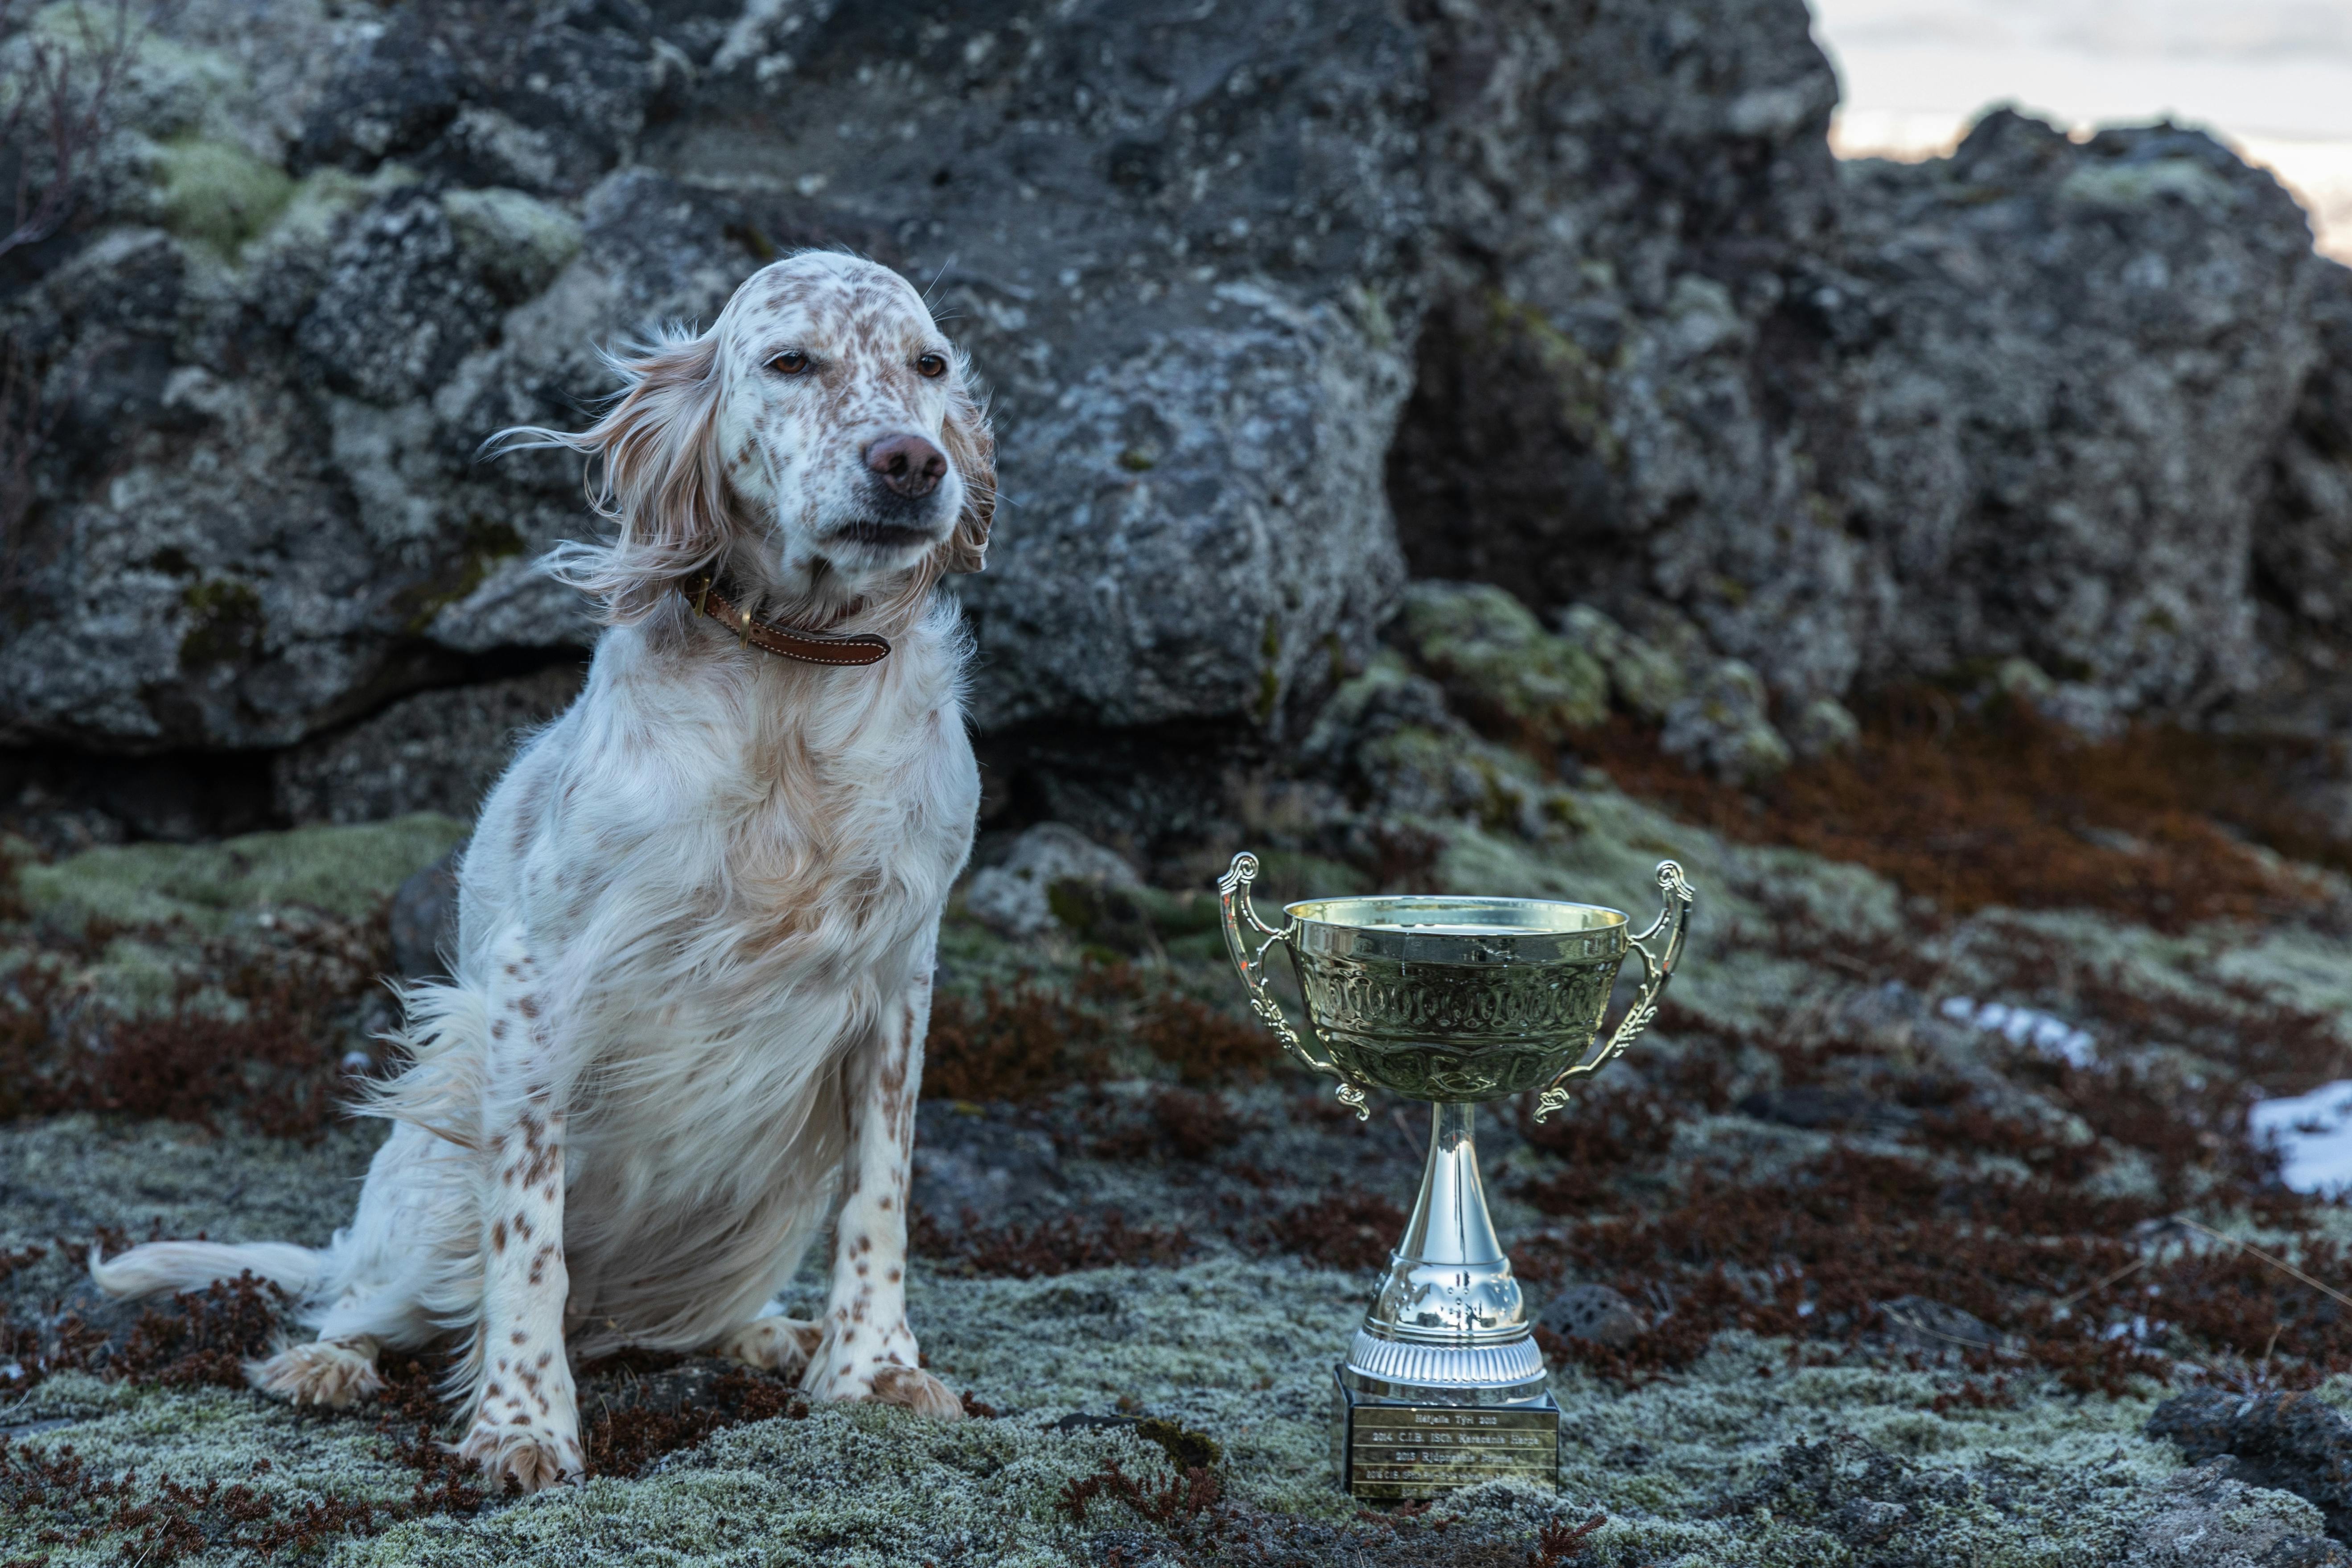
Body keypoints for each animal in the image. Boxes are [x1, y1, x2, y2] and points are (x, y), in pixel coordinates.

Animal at [89, 251, 992, 1495]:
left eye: (930, 366)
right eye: (790, 360)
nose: (912, 461)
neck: (793, 678)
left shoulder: (899, 979)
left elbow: (880, 1196)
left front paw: (875, 1372)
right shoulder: (541, 984)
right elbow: (529, 1237)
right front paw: (521, 1423)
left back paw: (766, 1331)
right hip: (423, 1181)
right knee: (371, 1299)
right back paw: (327, 1362)